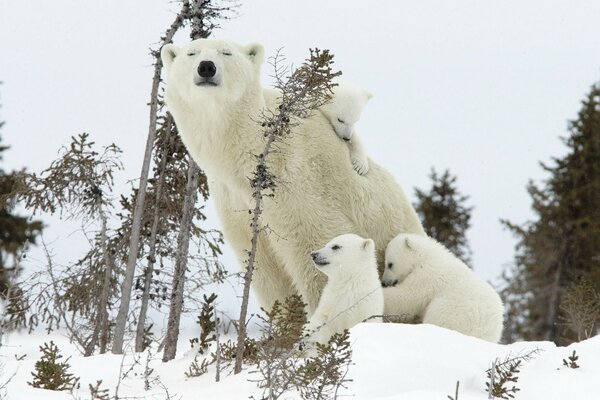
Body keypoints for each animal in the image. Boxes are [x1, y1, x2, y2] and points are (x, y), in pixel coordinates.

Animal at [162, 39, 424, 312]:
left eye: (226, 52)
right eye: (191, 53)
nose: (206, 67)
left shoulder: (296, 181)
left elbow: (317, 248)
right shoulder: (234, 201)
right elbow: (267, 272)